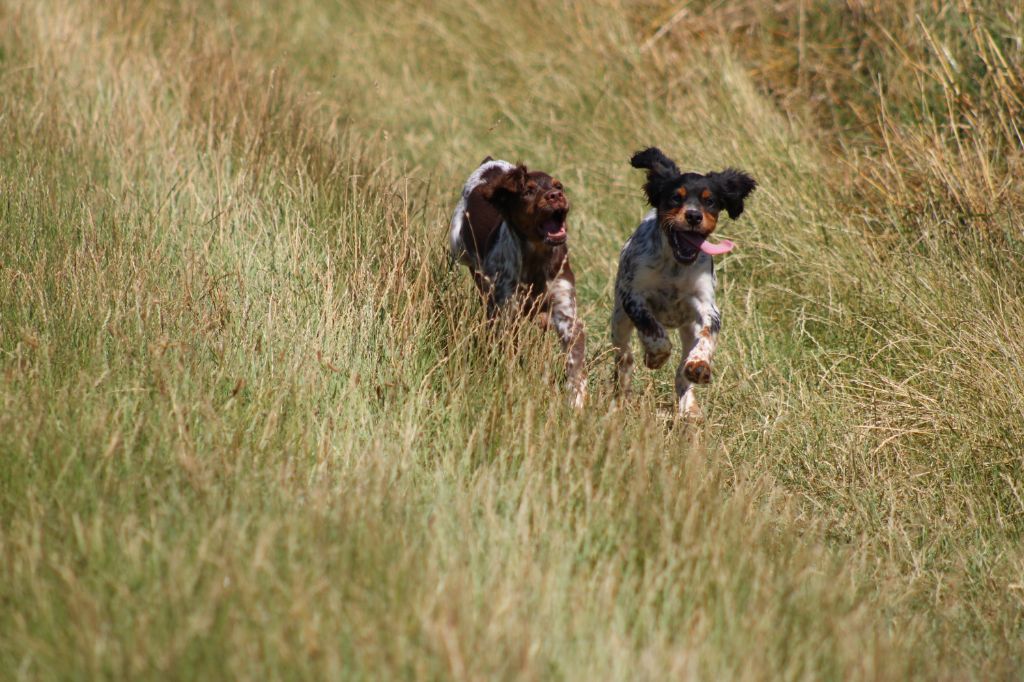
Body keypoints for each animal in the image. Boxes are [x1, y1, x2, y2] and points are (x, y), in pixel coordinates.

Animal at [446, 156, 585, 405]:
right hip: (458, 246)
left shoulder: (566, 311)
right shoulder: (507, 312)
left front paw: (575, 401)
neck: (537, 257)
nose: (555, 196)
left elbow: (574, 359)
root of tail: (492, 164)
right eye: (528, 191)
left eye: (559, 186)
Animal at [610, 146, 757, 417]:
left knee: (681, 373)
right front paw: (656, 355)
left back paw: (689, 407)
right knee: (624, 358)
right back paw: (622, 396)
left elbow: (708, 334)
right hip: (619, 321)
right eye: (675, 198)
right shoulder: (633, 297)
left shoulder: (706, 305)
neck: (675, 265)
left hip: (687, 329)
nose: (693, 216)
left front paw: (699, 366)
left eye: (710, 201)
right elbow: (651, 326)